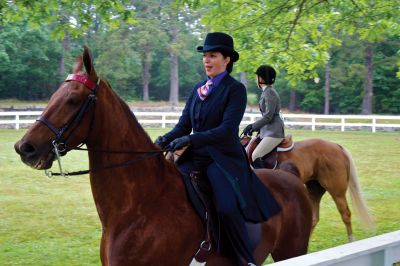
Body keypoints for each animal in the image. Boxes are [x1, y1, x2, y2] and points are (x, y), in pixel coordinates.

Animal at [244, 135, 376, 241]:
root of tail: (337, 146)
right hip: (314, 190)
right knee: (314, 218)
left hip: (336, 191)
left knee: (345, 214)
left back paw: (351, 240)